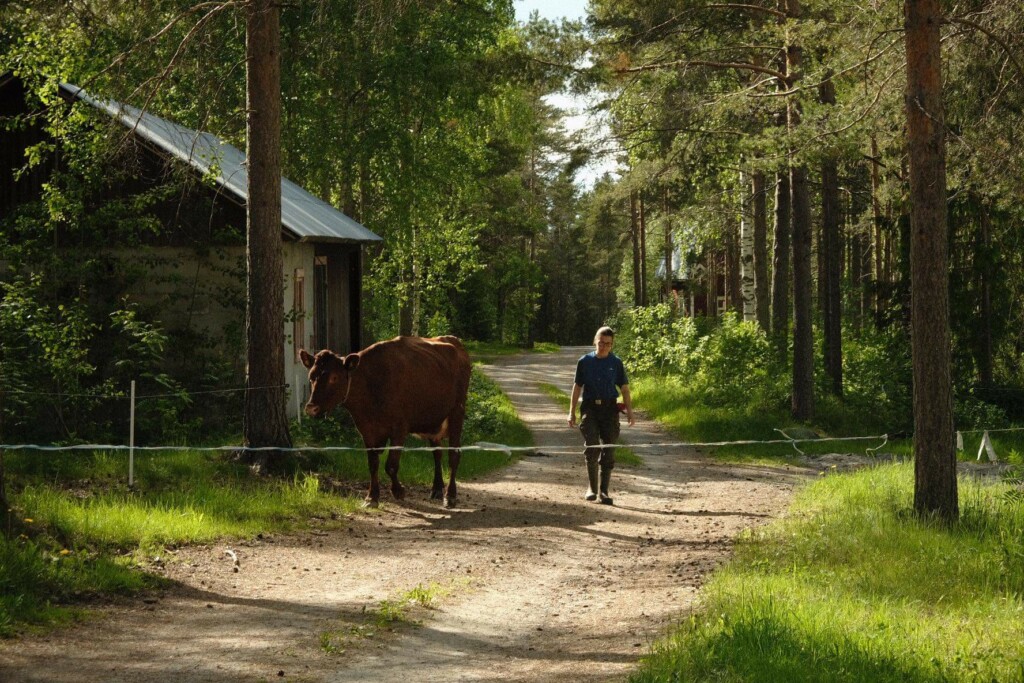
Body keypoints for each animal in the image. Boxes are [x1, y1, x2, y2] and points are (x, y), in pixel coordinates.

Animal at [296, 335, 471, 507]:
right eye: (311, 377)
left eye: (334, 377)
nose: (311, 408)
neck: (371, 384)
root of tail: (453, 340)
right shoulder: (366, 430)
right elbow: (373, 464)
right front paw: (371, 497)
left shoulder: (399, 428)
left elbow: (391, 466)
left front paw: (398, 491)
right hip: (433, 420)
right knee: (437, 453)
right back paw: (437, 489)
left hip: (457, 412)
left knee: (454, 456)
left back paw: (450, 495)